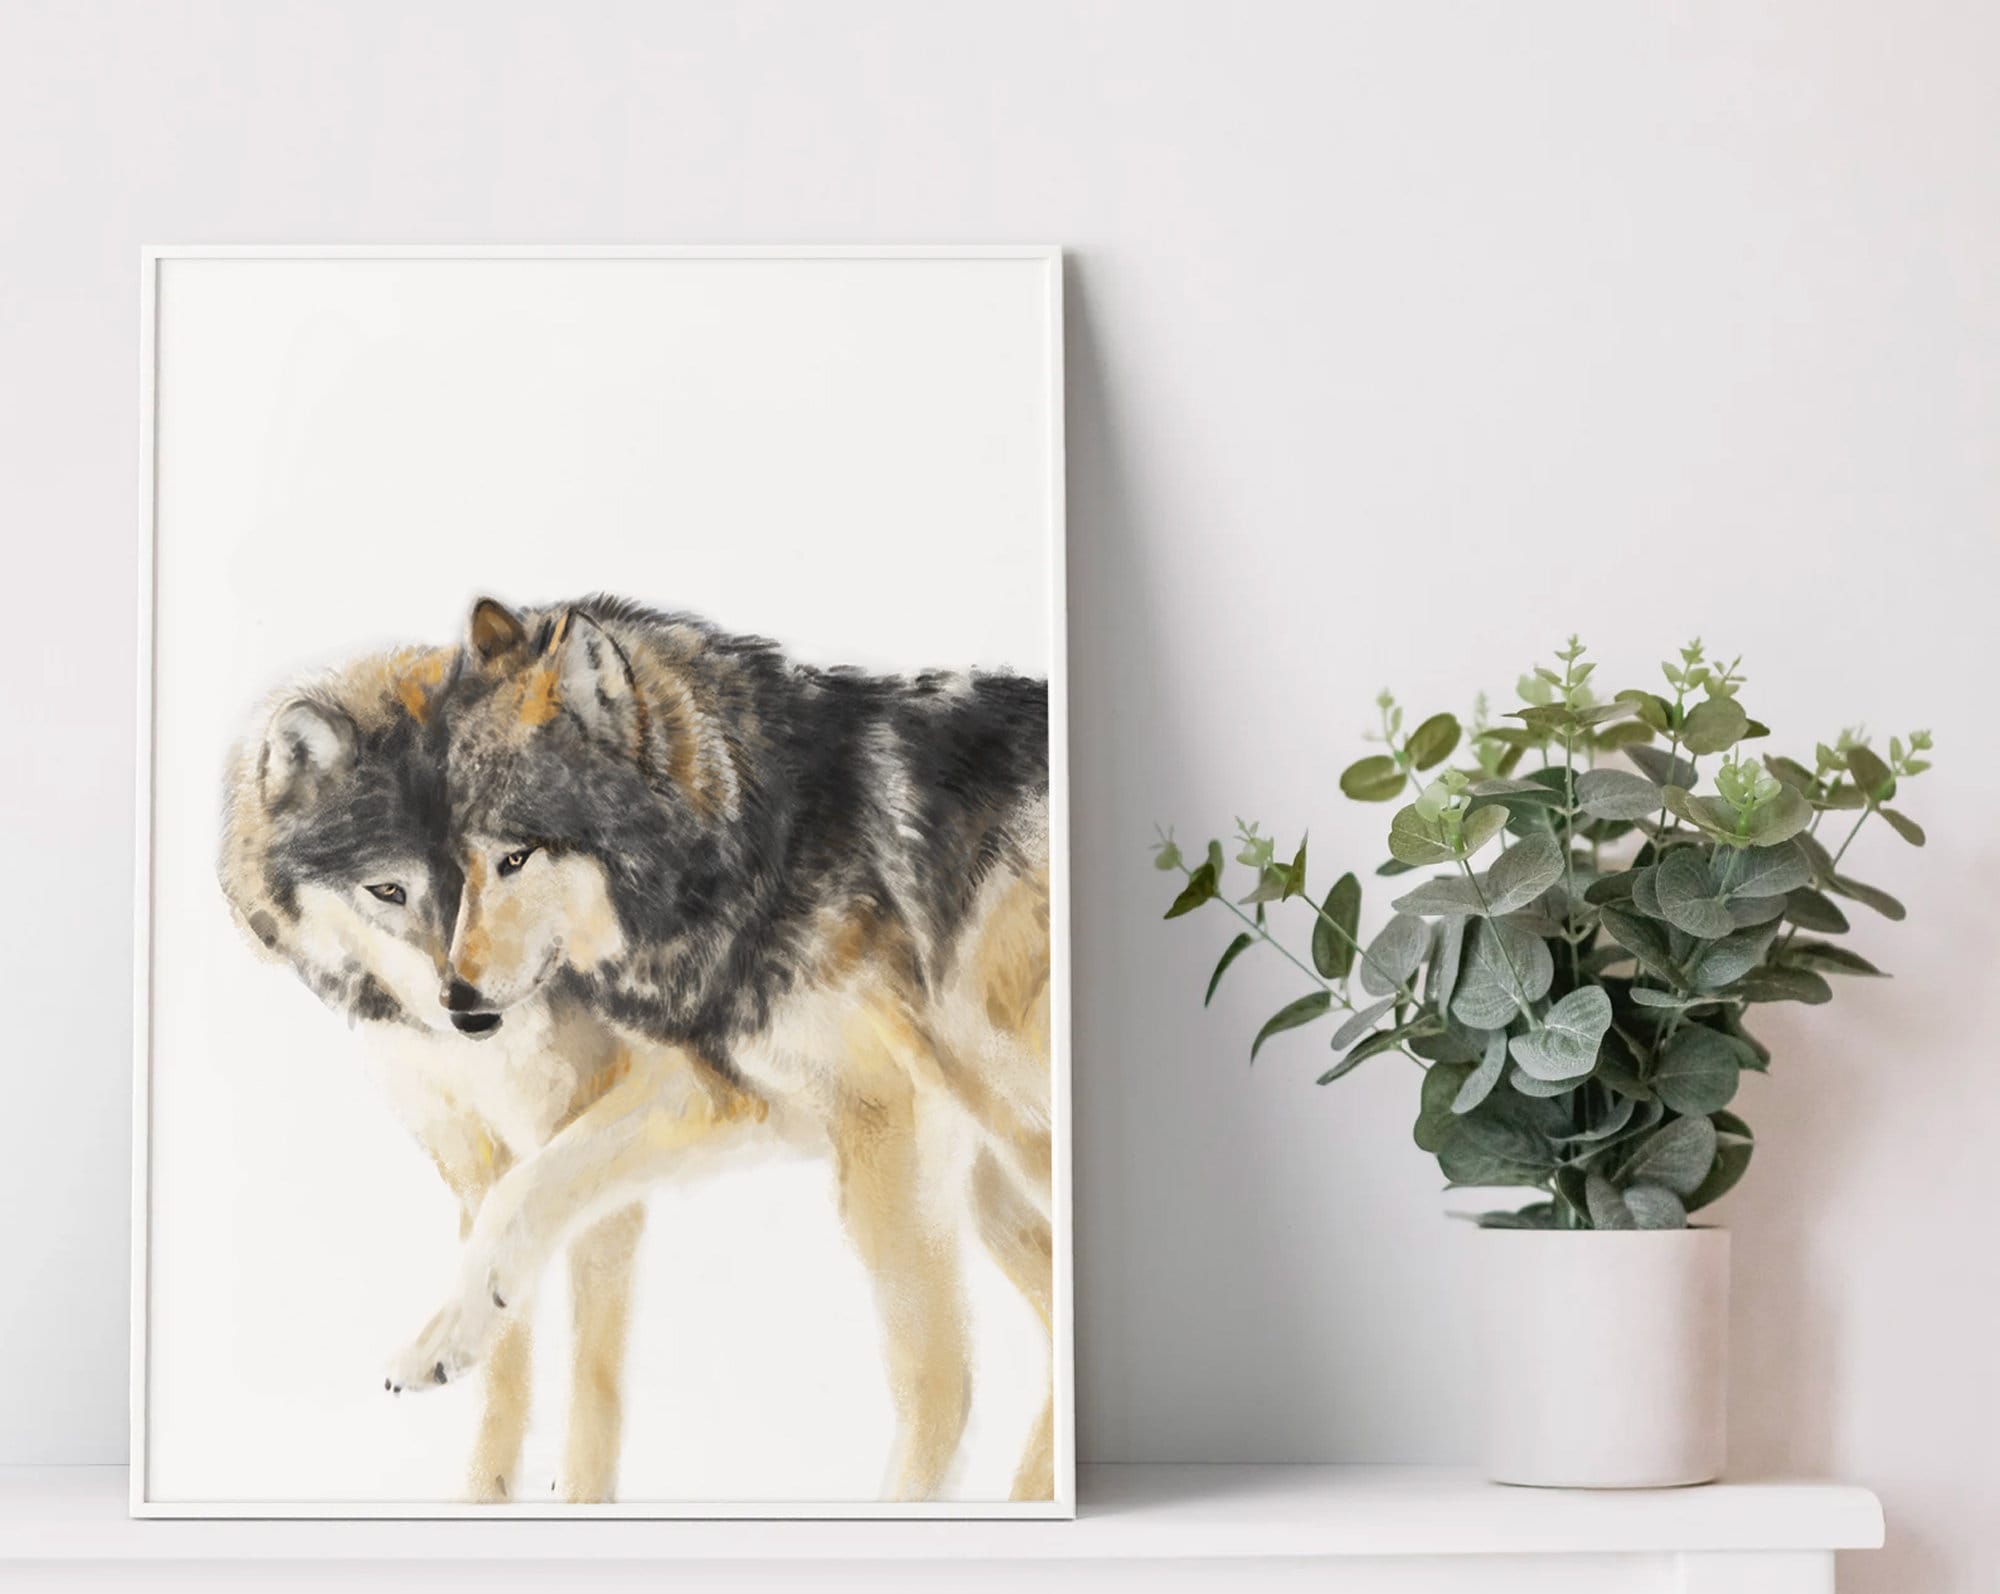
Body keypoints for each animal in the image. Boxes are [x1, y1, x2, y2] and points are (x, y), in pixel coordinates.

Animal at [220, 646, 766, 1504]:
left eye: (514, 865)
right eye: (388, 889)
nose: (471, 1013)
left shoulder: (633, 1129)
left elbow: (591, 1362)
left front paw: (582, 1496)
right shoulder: (475, 1157)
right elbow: (501, 1334)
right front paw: (486, 1487)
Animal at [380, 595, 1058, 1502]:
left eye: (517, 856)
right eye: (462, 863)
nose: (456, 1004)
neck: (759, 845)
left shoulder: (886, 1116)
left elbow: (935, 1380)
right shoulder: (735, 1094)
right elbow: (526, 1186)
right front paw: (449, 1336)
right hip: (992, 1170)